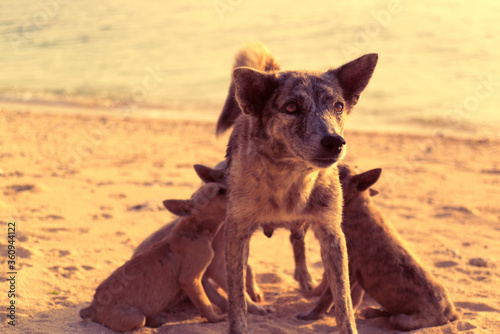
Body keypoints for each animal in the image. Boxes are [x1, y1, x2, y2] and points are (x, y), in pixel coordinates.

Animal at [79, 181, 228, 332]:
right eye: (219, 192)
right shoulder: (190, 279)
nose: (231, 187)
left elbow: (212, 298)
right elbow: (204, 303)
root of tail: (91, 308)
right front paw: (216, 318)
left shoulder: (200, 279)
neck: (195, 230)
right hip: (137, 318)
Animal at [221, 43, 376, 332]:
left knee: (298, 241)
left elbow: (343, 301)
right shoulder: (236, 231)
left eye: (338, 106)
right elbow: (237, 302)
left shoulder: (332, 235)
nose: (335, 142)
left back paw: (304, 277)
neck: (291, 179)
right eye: (291, 107)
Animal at [296, 165, 460, 332]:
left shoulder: (347, 266)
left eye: (337, 174)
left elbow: (329, 297)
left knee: (394, 317)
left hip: (403, 320)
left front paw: (312, 315)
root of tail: (452, 313)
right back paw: (373, 311)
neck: (356, 206)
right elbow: (349, 298)